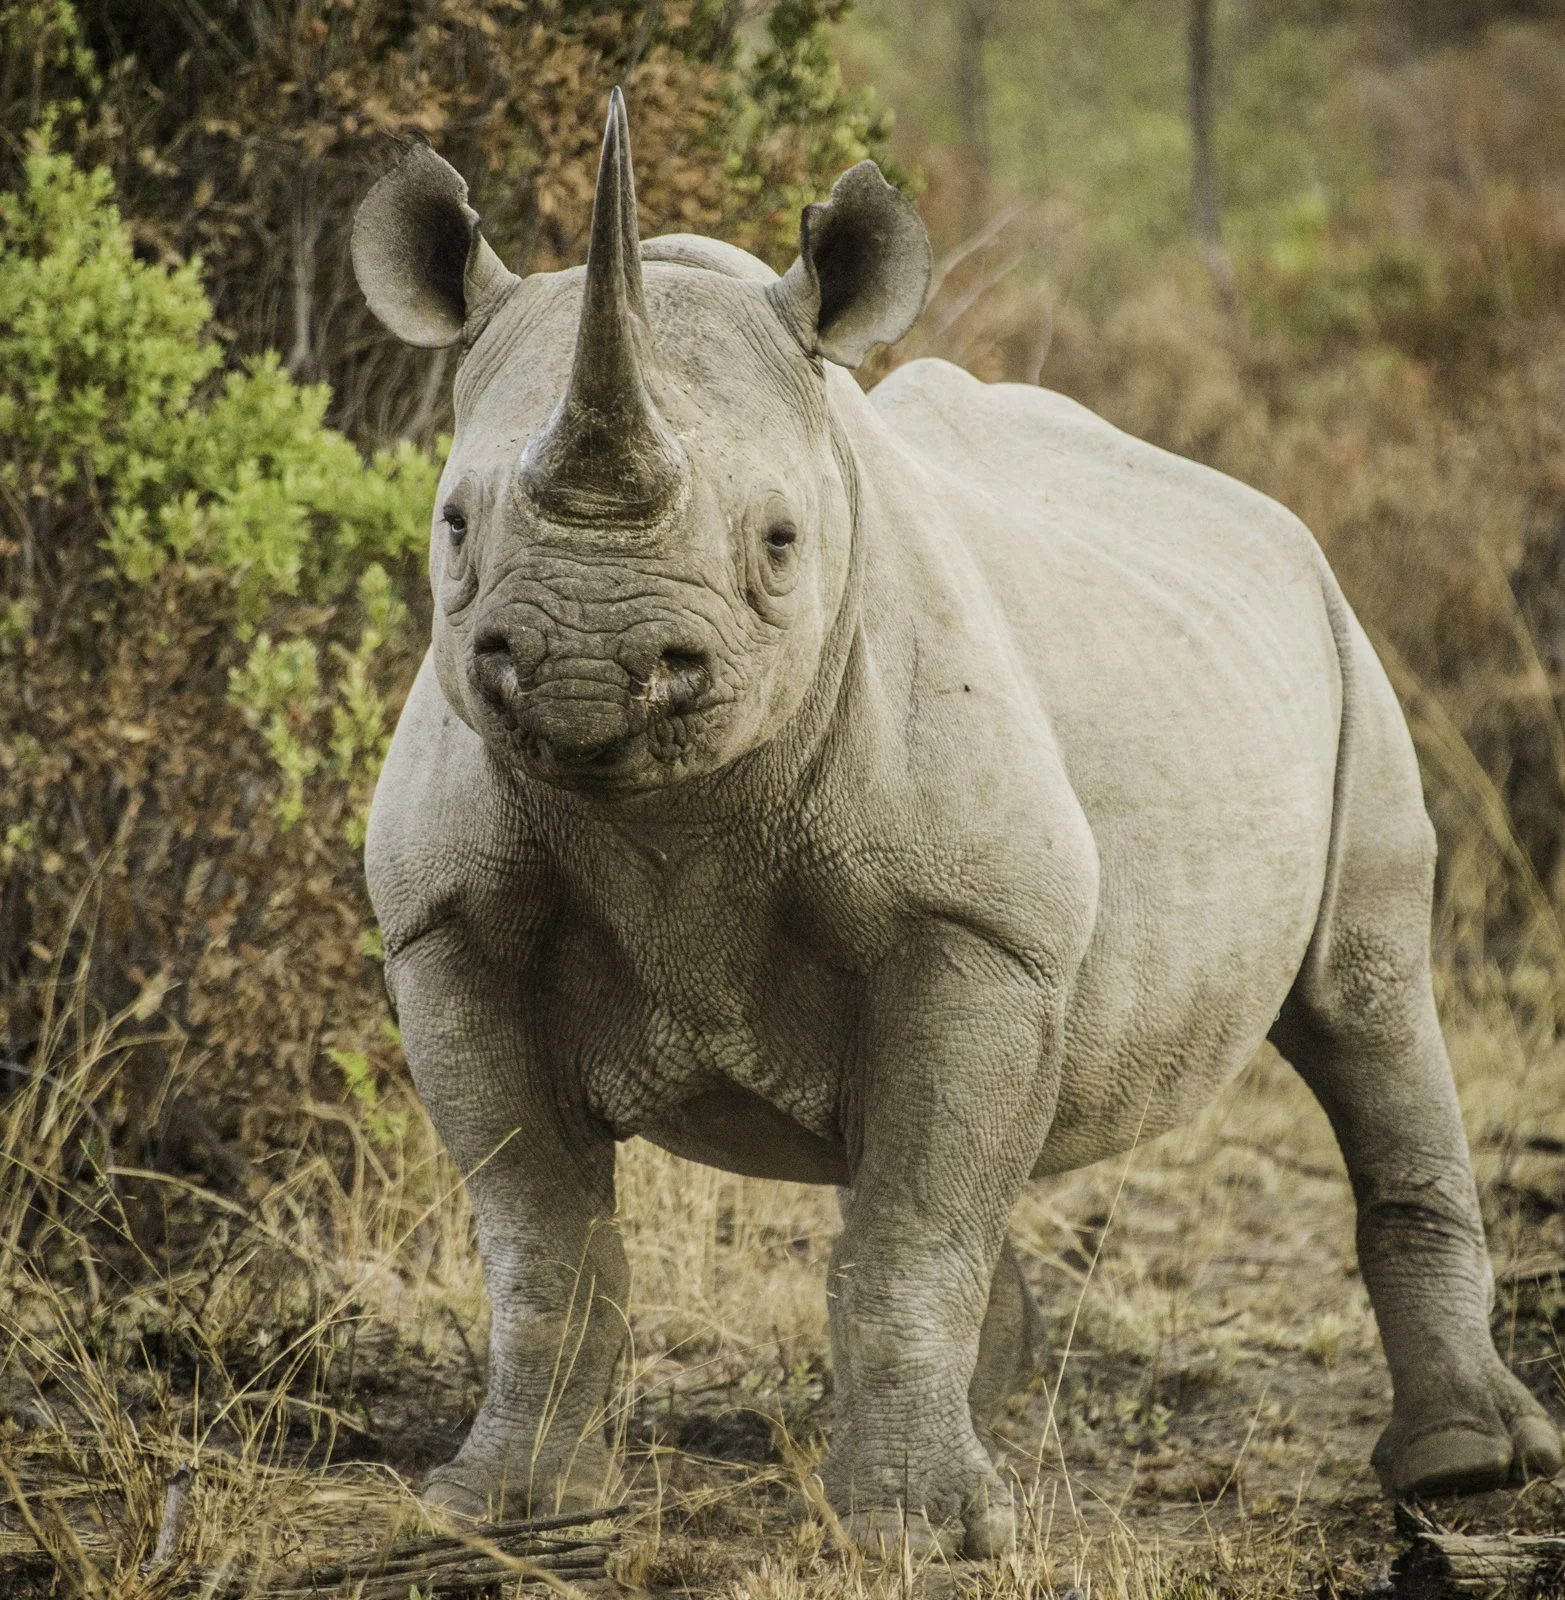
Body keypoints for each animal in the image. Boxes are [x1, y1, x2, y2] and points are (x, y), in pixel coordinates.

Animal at [349, 91, 1562, 1555]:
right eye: (453, 525)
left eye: (779, 543)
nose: (586, 664)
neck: (673, 816)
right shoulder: (447, 926)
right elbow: (540, 1231)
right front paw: (498, 1511)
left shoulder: (973, 920)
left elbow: (914, 1222)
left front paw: (919, 1533)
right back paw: (1005, 1402)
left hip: (1341, 639)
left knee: (1364, 1000)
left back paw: (1461, 1470)